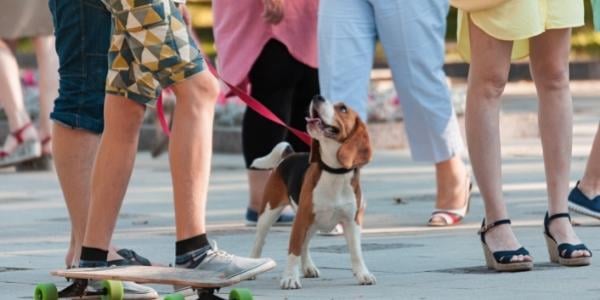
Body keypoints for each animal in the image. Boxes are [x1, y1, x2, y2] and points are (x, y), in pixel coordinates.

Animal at [251, 95, 378, 288]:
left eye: (343, 108)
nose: (318, 96)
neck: (334, 172)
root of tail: (289, 154)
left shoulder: (352, 221)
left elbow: (356, 252)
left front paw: (363, 274)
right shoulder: (301, 219)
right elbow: (293, 250)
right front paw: (290, 277)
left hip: (313, 223)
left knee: (305, 245)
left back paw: (308, 268)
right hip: (269, 213)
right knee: (259, 241)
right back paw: (254, 265)